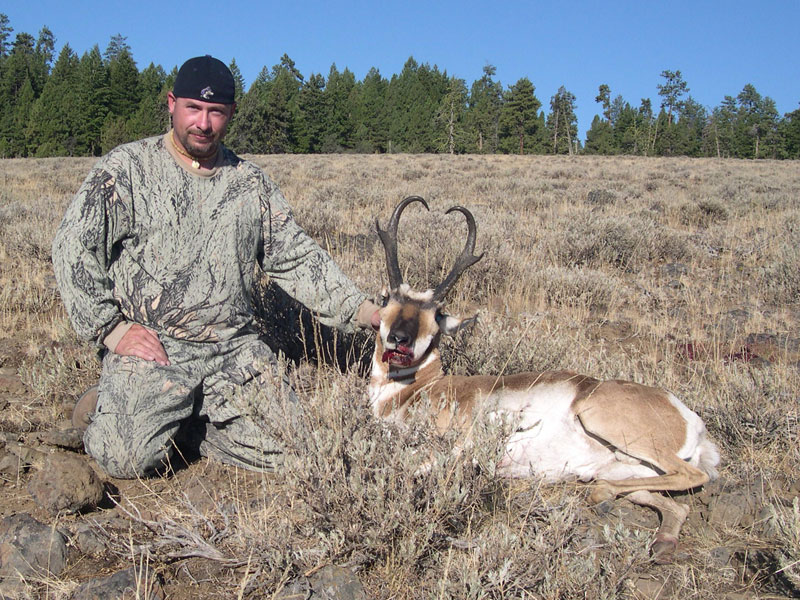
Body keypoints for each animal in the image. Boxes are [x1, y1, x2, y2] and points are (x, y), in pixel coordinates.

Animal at [372, 197, 720, 564]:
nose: (399, 340)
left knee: (692, 476)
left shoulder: (455, 445)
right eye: (387, 299)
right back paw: (658, 539)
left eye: (436, 314)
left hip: (606, 422)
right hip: (630, 472)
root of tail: (688, 418)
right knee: (676, 506)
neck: (419, 390)